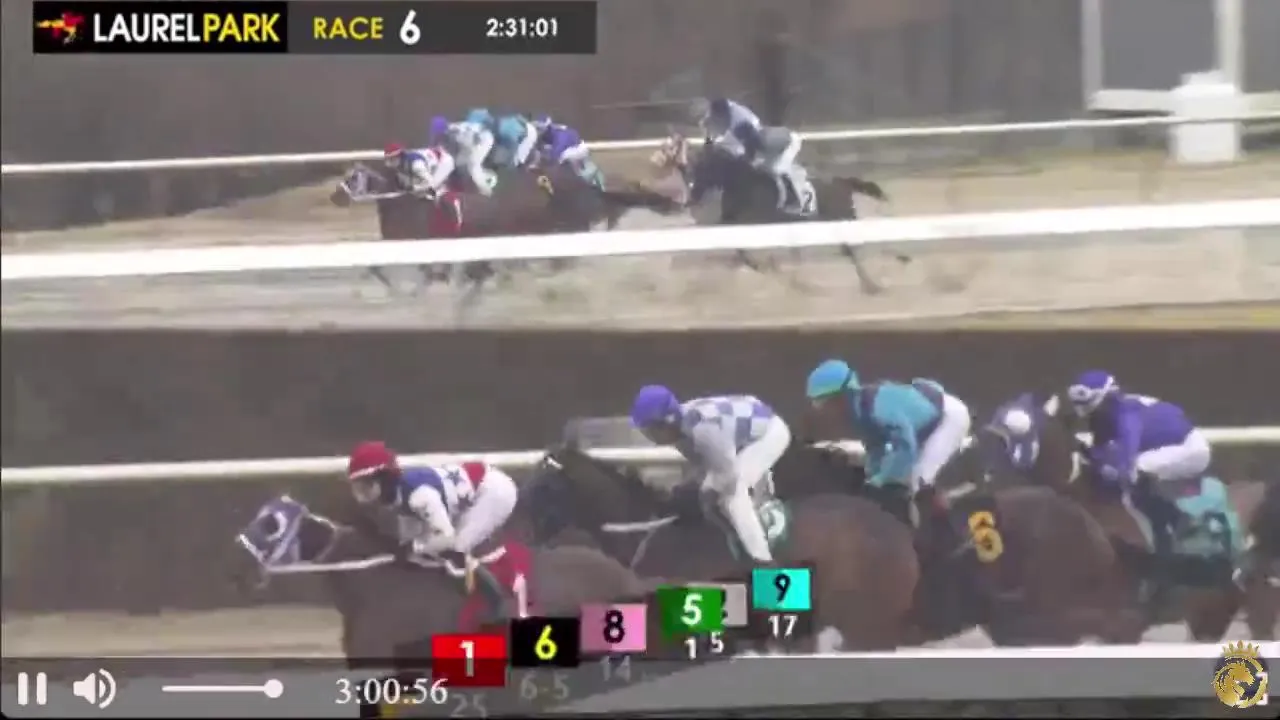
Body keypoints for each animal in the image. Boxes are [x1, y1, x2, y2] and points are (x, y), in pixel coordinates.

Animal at [657, 132, 908, 291]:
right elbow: (735, 245)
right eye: (695, 167)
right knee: (852, 250)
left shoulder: (754, 222)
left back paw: (880, 277)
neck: (744, 183)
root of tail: (842, 182)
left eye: (705, 166)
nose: (693, 194)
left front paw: (764, 265)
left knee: (859, 246)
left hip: (844, 218)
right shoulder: (732, 222)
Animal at [975, 391, 1278, 640]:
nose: (992, 480)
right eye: (989, 433)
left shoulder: (1122, 623)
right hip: (1210, 613)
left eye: (1020, 432)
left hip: (1260, 603)